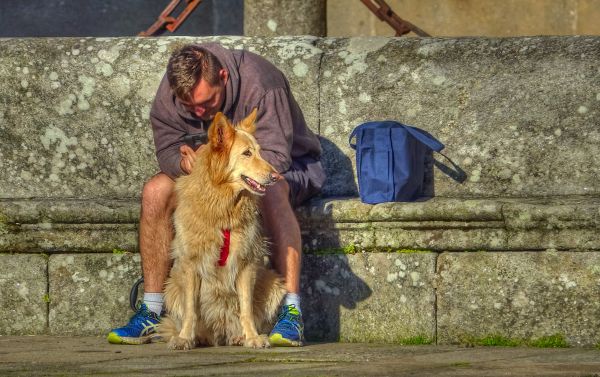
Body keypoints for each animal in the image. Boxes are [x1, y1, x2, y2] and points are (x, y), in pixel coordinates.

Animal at [161, 109, 288, 350]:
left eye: (260, 152)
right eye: (247, 153)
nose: (277, 176)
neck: (223, 207)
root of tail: (219, 333)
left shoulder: (246, 262)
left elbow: (246, 308)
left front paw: (252, 337)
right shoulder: (191, 264)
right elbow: (191, 309)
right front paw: (185, 338)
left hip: (273, 283)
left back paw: (239, 336)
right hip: (172, 286)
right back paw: (198, 337)